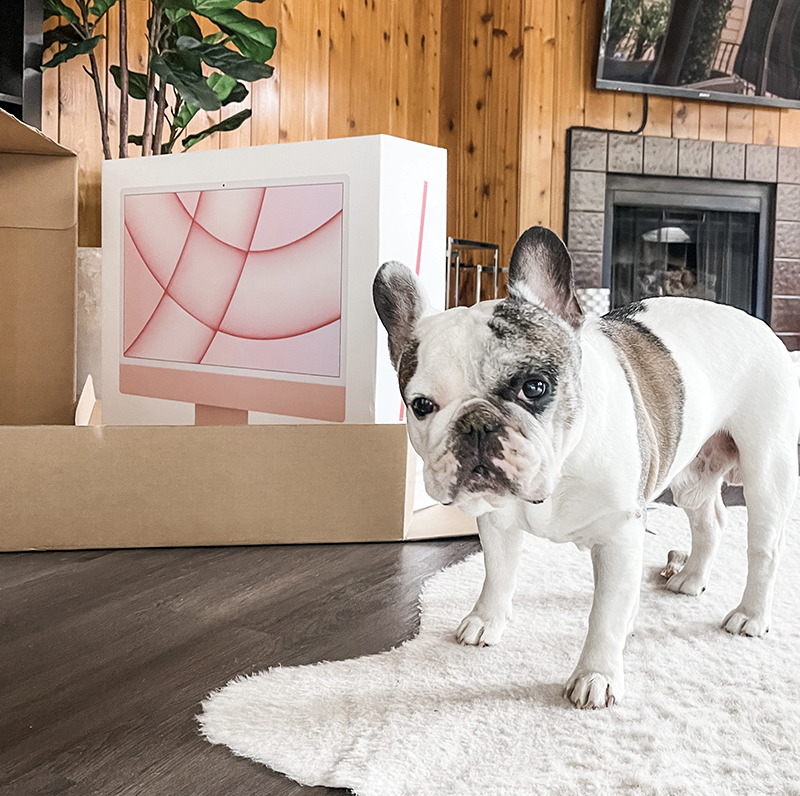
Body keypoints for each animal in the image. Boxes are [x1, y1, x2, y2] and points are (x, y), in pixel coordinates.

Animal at [374, 224, 800, 708]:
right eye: (421, 406)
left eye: (535, 387)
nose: (477, 424)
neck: (559, 470)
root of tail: (759, 325)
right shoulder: (498, 523)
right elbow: (498, 574)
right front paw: (487, 620)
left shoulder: (618, 536)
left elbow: (605, 614)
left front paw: (596, 674)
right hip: (692, 473)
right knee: (710, 520)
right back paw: (691, 578)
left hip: (767, 470)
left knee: (765, 549)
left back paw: (750, 615)